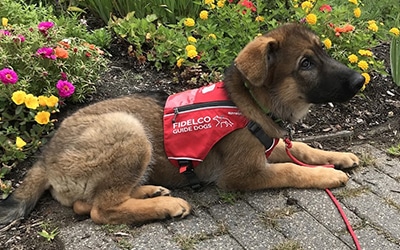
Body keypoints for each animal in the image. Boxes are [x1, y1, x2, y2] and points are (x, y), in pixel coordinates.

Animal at [0, 23, 364, 225]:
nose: (361, 80)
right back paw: (165, 205)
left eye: (324, 52)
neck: (250, 104)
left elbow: (301, 147)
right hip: (128, 131)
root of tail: (45, 159)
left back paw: (150, 191)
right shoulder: (243, 174)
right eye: (306, 64)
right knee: (99, 210)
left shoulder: (269, 146)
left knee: (87, 202)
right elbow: (291, 169)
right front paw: (327, 174)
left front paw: (337, 157)